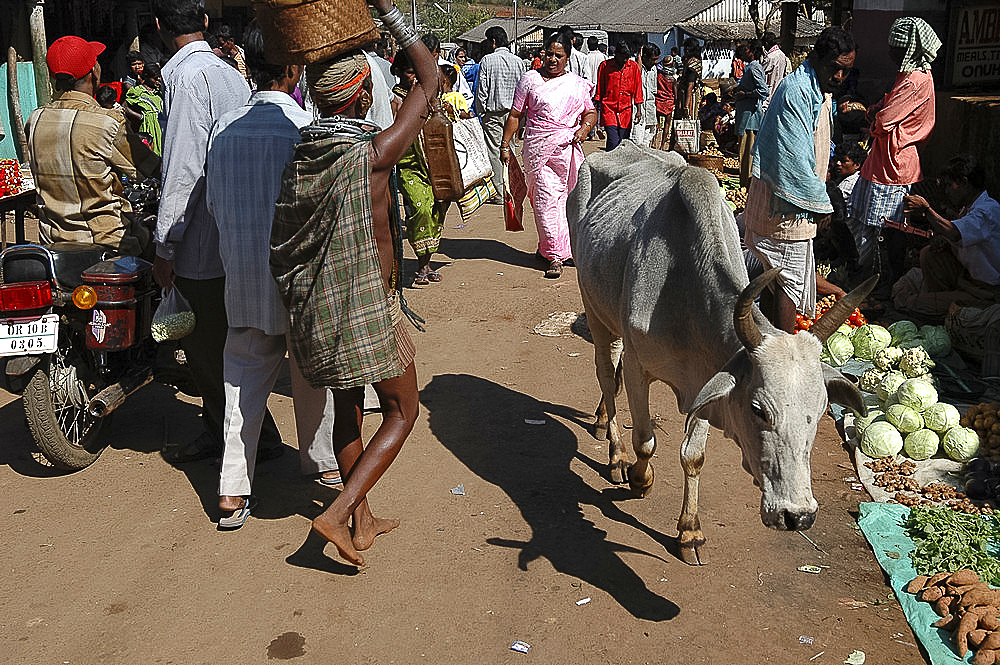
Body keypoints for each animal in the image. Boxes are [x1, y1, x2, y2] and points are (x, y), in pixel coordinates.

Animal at [568, 143, 872, 564]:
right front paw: (640, 479)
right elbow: (645, 439)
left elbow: (692, 456)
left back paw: (598, 419)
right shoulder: (639, 367)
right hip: (594, 308)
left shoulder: (707, 379)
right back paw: (614, 455)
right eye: (759, 410)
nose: (797, 515)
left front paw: (690, 532)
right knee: (607, 376)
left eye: (823, 409)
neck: (682, 285)